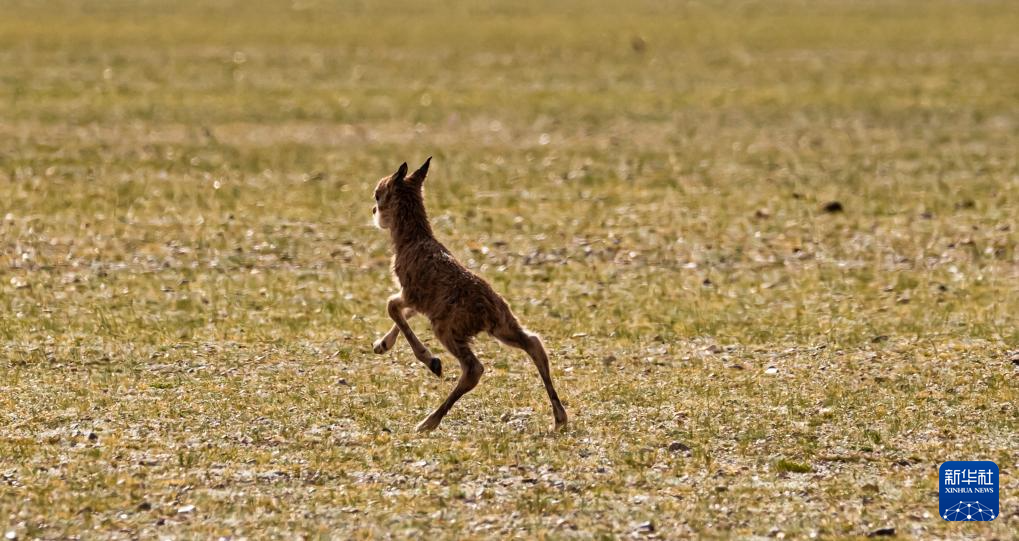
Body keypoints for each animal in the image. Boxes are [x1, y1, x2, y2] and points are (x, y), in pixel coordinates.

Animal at [370, 158, 570, 434]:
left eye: (378, 194)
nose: (373, 211)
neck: (414, 239)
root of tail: (489, 310)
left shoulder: (411, 293)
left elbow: (392, 307)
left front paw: (430, 360)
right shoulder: (420, 303)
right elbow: (402, 313)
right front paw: (381, 345)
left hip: (447, 329)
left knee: (473, 368)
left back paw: (428, 421)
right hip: (503, 327)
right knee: (533, 344)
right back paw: (559, 418)